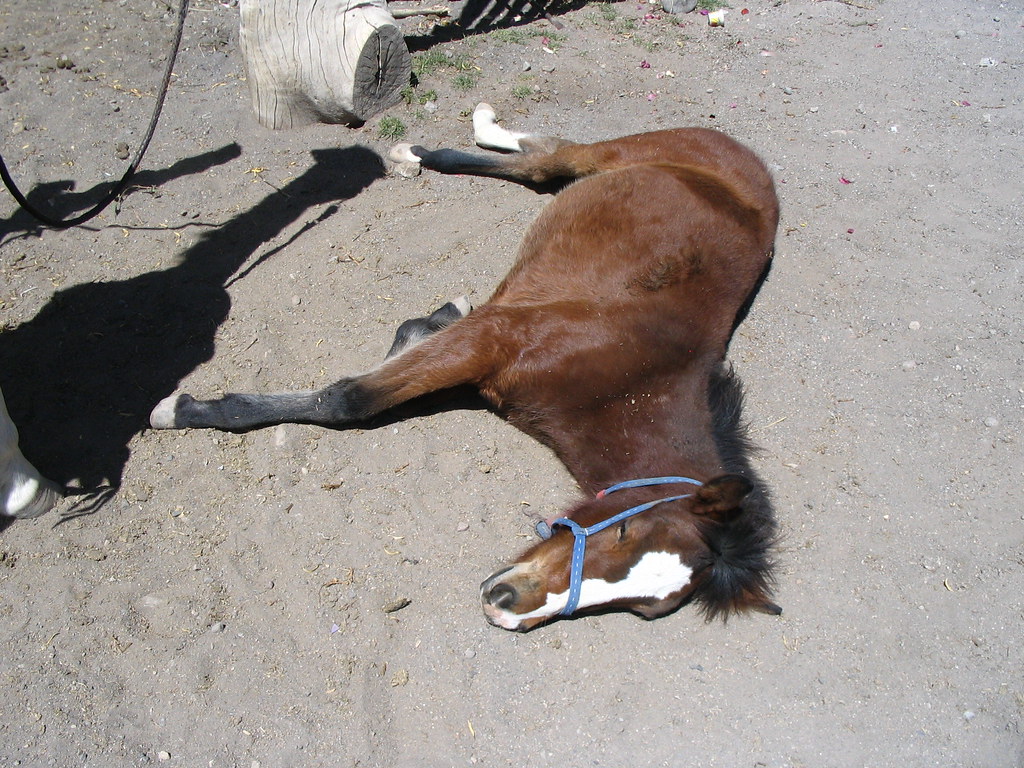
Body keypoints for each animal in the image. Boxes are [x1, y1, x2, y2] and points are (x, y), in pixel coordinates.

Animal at [151, 104, 782, 631]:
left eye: (642, 609)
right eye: (625, 527)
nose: (504, 605)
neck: (626, 377)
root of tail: (750, 161)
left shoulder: (482, 356)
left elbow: (404, 349)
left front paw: (428, 318)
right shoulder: (490, 339)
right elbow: (350, 398)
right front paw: (183, 409)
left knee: (537, 165)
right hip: (619, 153)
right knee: (554, 154)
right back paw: (433, 145)